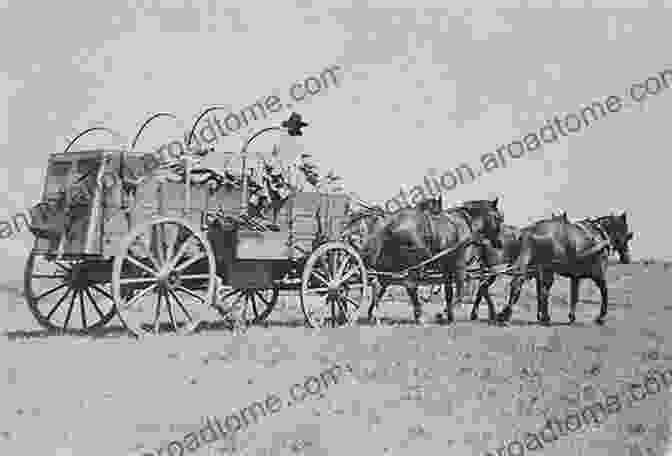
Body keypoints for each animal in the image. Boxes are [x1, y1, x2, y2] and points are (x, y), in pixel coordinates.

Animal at [360, 199, 502, 324]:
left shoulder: (447, 269)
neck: (466, 224)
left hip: (390, 264)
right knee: (409, 285)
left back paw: (373, 313)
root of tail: (390, 223)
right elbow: (459, 292)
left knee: (380, 284)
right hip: (415, 262)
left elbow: (449, 292)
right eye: (499, 217)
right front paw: (445, 313)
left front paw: (449, 315)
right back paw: (419, 316)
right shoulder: (459, 266)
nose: (499, 243)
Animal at [496, 212, 632, 326]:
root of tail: (531, 231)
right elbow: (604, 291)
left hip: (535, 266)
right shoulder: (598, 273)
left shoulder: (575, 276)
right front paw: (601, 317)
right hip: (547, 268)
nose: (627, 258)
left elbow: (574, 295)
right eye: (626, 231)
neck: (599, 234)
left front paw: (572, 316)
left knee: (521, 284)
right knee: (540, 290)